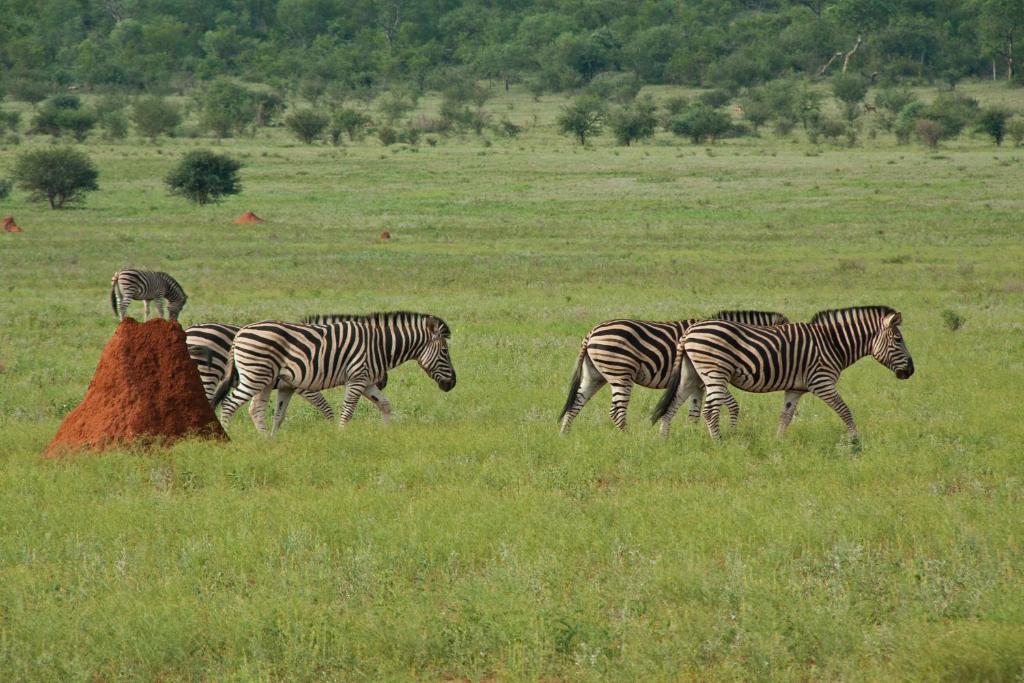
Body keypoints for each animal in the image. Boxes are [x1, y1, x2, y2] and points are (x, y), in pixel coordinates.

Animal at [211, 313, 456, 436]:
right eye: (445, 351)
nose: (453, 383)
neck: (379, 345)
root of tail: (240, 333)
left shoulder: (367, 381)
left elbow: (385, 404)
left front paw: (389, 433)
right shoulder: (356, 378)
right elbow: (346, 410)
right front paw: (341, 436)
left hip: (264, 380)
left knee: (256, 410)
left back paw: (265, 441)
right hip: (255, 376)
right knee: (230, 404)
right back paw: (228, 437)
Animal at [561, 311, 790, 432]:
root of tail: (591, 333)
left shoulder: (696, 382)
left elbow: (694, 411)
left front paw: (693, 434)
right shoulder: (707, 377)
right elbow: (732, 405)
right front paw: (730, 432)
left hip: (595, 375)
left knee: (575, 403)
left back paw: (565, 435)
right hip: (620, 372)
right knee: (616, 411)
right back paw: (627, 437)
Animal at [651, 305, 917, 444]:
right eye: (898, 339)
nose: (911, 371)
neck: (832, 343)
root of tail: (689, 331)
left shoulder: (795, 388)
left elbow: (785, 416)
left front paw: (777, 442)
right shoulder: (821, 381)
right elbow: (844, 409)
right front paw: (855, 440)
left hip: (691, 374)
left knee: (672, 404)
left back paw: (663, 440)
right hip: (715, 372)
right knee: (709, 411)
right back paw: (719, 443)